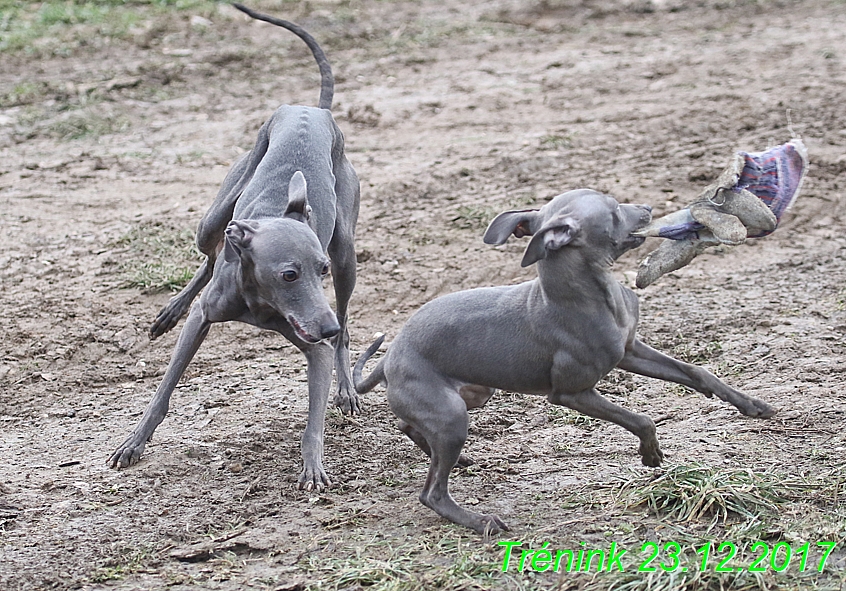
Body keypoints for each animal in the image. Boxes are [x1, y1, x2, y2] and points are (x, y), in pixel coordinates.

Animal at [107, 4, 360, 492]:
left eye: (317, 269)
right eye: (288, 274)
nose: (326, 327)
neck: (255, 299)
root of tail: (312, 110)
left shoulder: (314, 339)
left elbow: (314, 416)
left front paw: (314, 464)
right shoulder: (205, 317)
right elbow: (164, 389)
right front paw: (134, 441)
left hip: (347, 254)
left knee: (345, 322)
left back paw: (347, 387)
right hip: (213, 220)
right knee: (209, 257)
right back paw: (169, 312)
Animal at [354, 191, 780, 536]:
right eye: (613, 209)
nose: (647, 207)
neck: (593, 293)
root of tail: (390, 356)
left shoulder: (631, 350)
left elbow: (697, 371)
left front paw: (752, 405)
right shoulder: (572, 394)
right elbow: (640, 419)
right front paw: (650, 454)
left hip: (469, 398)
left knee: (407, 425)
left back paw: (458, 460)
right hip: (452, 416)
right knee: (432, 492)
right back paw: (479, 521)